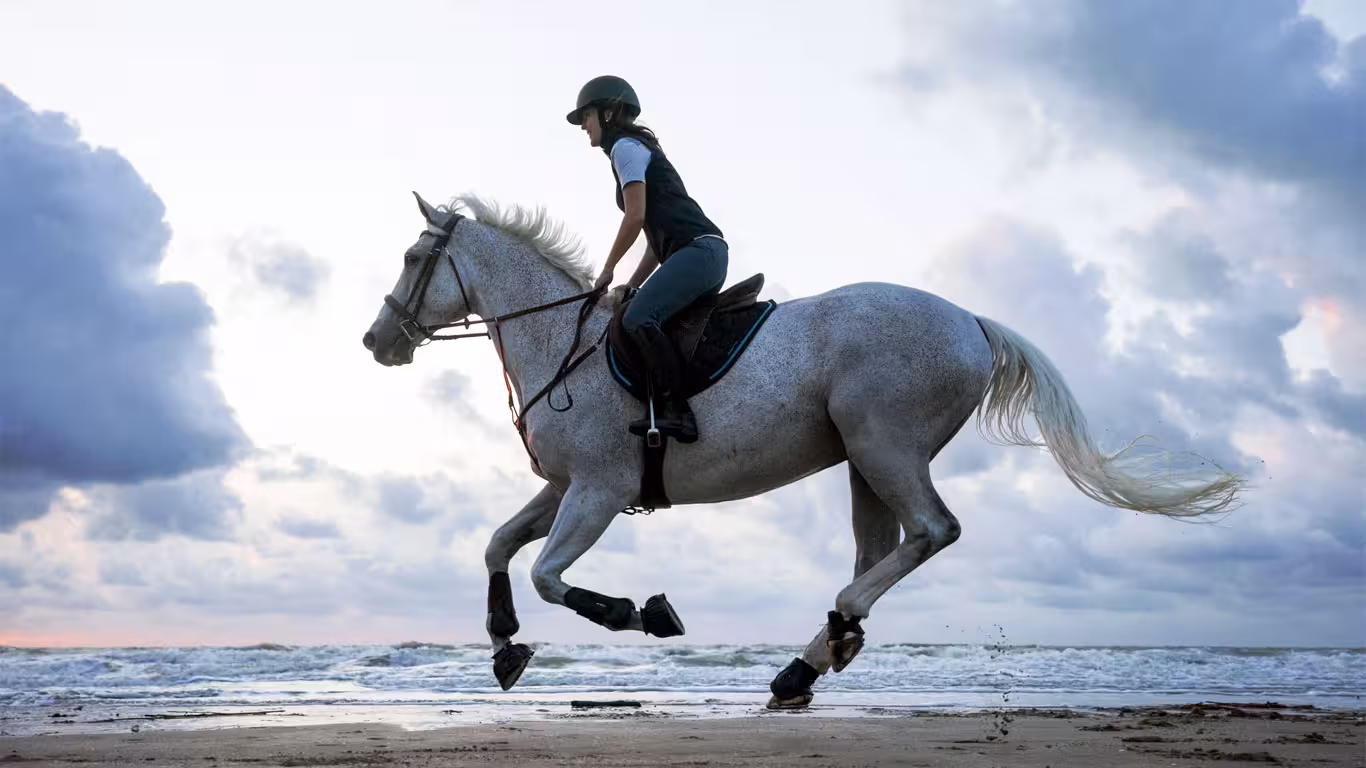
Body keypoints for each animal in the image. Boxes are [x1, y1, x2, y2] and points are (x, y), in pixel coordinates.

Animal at [362, 192, 1246, 709]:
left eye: (412, 258)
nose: (377, 342)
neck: (561, 341)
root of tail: (969, 321)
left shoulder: (599, 491)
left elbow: (550, 575)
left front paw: (640, 613)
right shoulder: (564, 487)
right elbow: (498, 545)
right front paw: (504, 643)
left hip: (884, 444)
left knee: (931, 532)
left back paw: (814, 652)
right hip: (863, 460)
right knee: (883, 548)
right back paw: (822, 652)